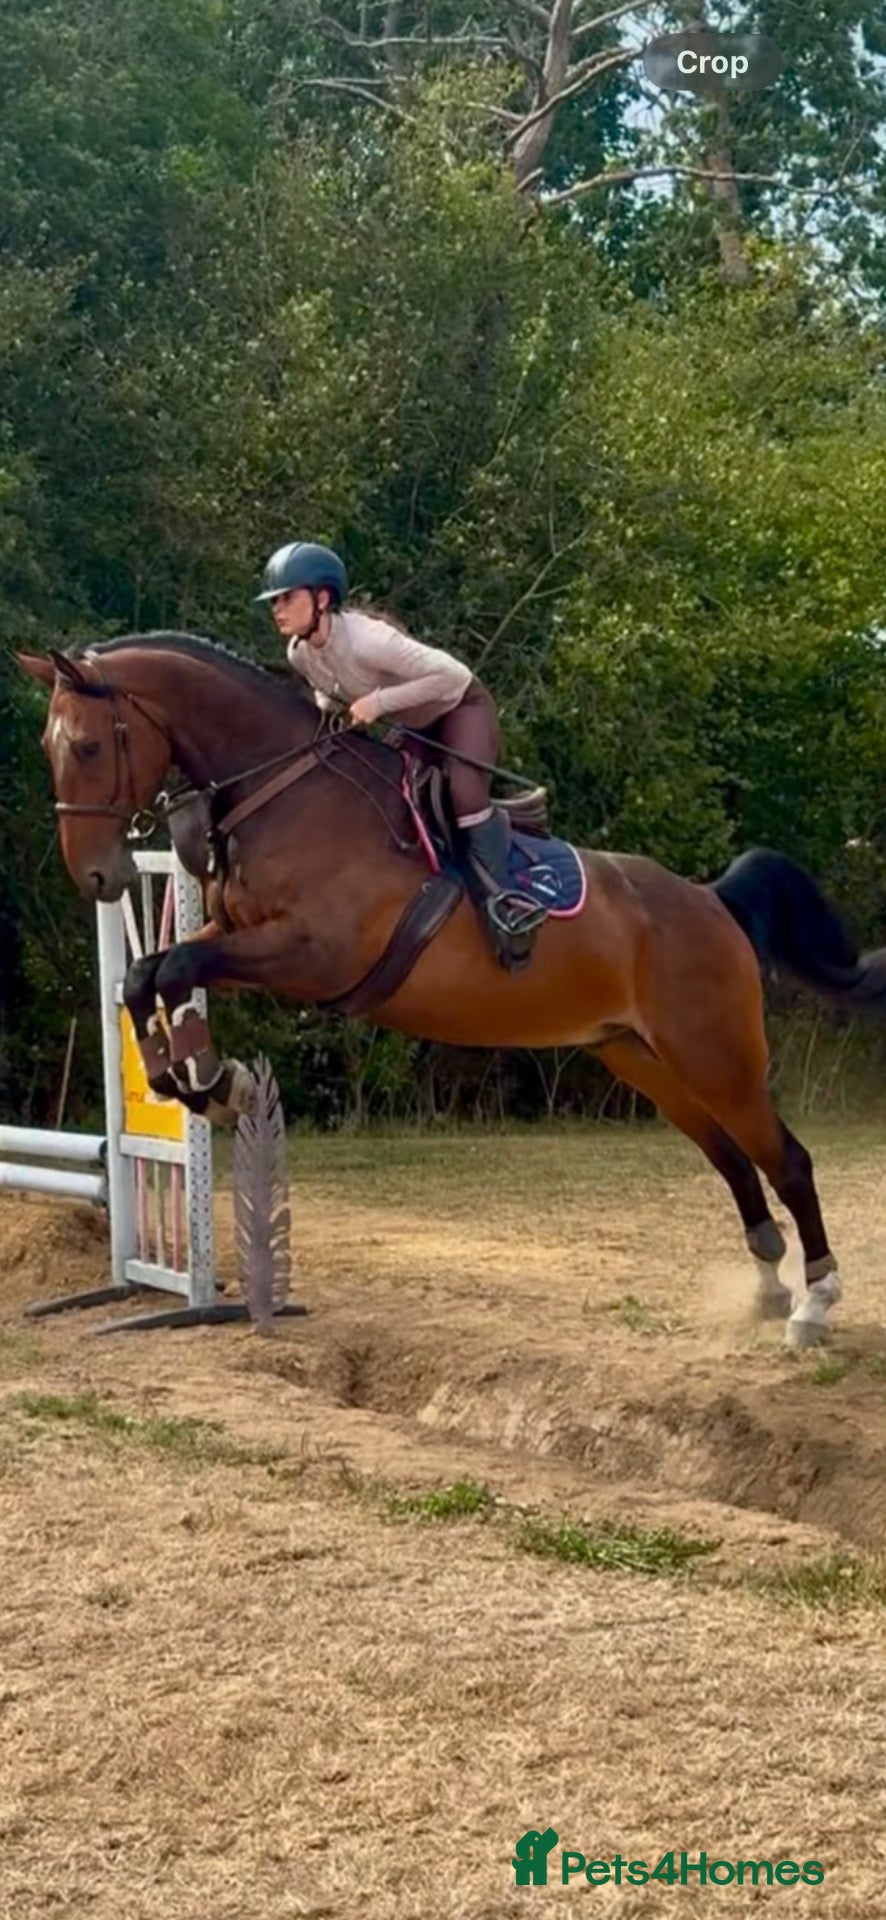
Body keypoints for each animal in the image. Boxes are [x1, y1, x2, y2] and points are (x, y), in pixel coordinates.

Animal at [18, 631, 886, 1350]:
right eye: (50, 749)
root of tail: (712, 900)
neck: (286, 791)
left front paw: (209, 1078)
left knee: (788, 1159)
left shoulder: (309, 953)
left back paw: (814, 1304)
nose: (97, 878)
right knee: (735, 1160)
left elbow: (171, 972)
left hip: (717, 1056)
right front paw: (194, 1078)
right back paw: (769, 1286)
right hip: (644, 1060)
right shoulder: (236, 937)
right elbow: (148, 973)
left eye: (89, 745)